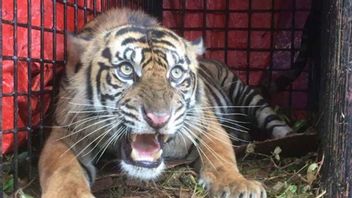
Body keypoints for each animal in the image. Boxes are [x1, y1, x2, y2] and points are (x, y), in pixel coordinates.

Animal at [37, 8, 292, 198]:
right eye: (126, 70)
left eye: (176, 72)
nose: (159, 119)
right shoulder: (66, 132)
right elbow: (63, 169)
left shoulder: (206, 123)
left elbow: (221, 156)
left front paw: (240, 185)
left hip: (247, 95)